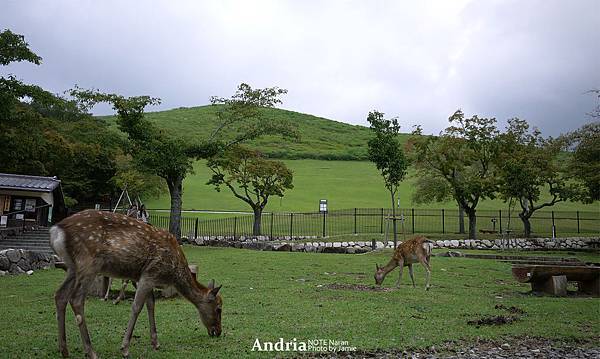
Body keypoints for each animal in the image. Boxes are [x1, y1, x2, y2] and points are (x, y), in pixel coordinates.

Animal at [49, 210, 223, 358]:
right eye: (219, 308)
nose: (218, 332)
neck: (173, 272)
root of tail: (56, 230)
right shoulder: (150, 273)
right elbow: (136, 307)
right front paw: (125, 348)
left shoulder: (146, 277)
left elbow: (151, 304)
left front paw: (155, 343)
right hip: (89, 264)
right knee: (76, 299)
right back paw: (91, 352)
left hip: (72, 267)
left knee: (60, 295)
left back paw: (63, 350)